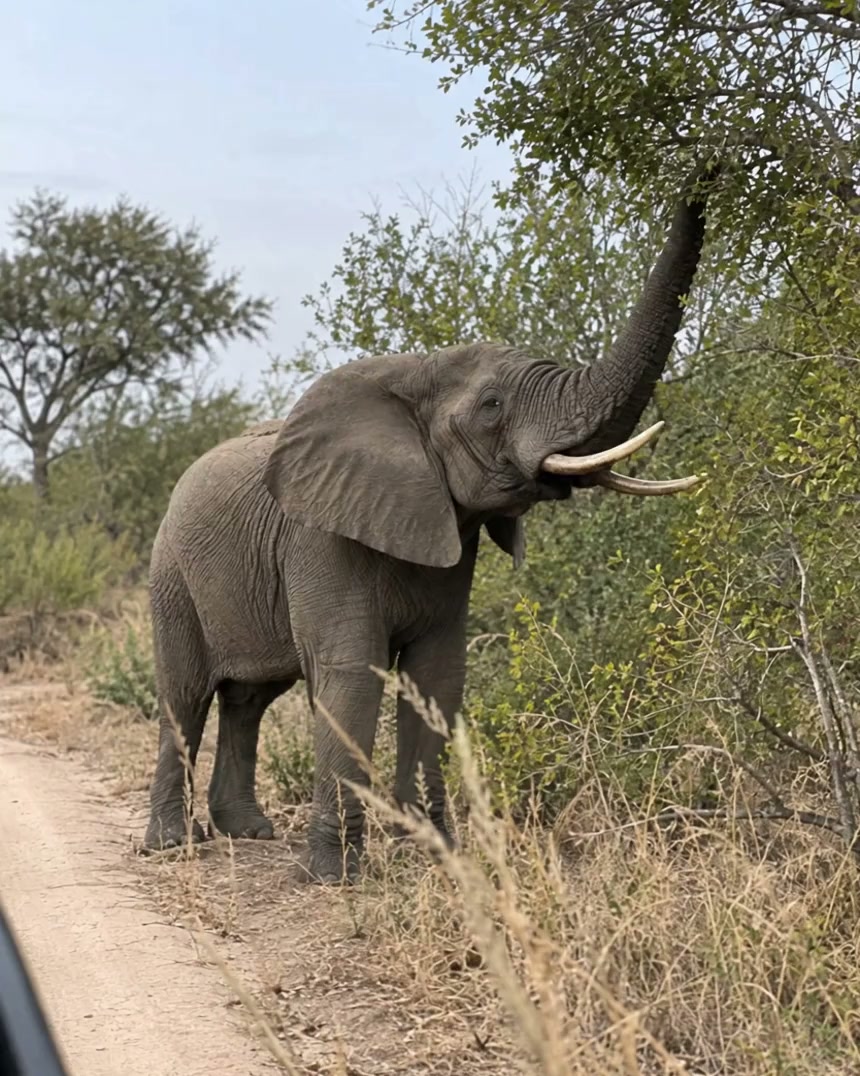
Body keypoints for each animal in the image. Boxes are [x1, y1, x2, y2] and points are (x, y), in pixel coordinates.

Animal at [143, 165, 718, 883]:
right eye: (493, 405)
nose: (707, 167)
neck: (414, 371)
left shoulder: (449, 532)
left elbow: (437, 676)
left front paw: (438, 857)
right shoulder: (321, 537)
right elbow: (352, 673)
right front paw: (334, 878)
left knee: (250, 698)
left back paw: (247, 832)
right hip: (172, 575)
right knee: (185, 694)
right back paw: (172, 844)